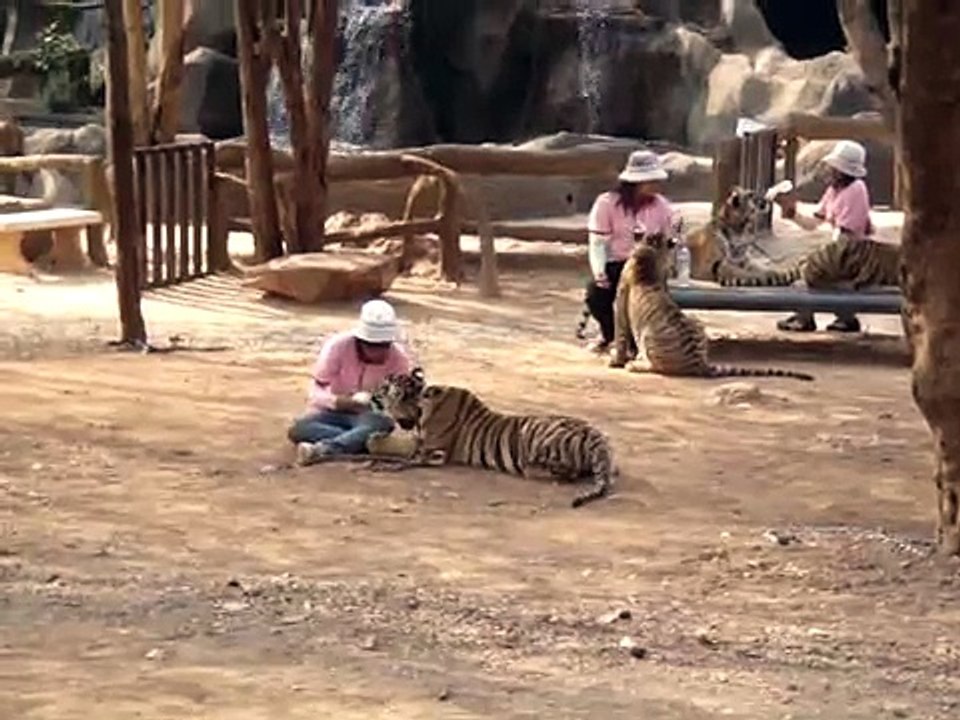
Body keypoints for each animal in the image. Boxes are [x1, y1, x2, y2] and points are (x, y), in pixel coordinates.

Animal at [369, 372, 615, 508]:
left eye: (384, 387)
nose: (372, 395)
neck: (418, 410)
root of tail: (594, 434)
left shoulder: (432, 452)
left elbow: (399, 460)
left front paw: (377, 465)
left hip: (539, 435)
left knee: (564, 471)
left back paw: (534, 467)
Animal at [574, 186, 768, 340]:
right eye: (752, 195)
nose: (765, 200)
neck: (738, 229)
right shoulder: (713, 267)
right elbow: (741, 271)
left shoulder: (743, 260)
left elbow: (758, 267)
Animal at [608, 232, 814, 381]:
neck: (650, 254)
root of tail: (700, 363)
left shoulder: (619, 305)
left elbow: (620, 333)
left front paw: (616, 360)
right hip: (694, 320)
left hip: (648, 335)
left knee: (656, 367)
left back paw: (635, 364)